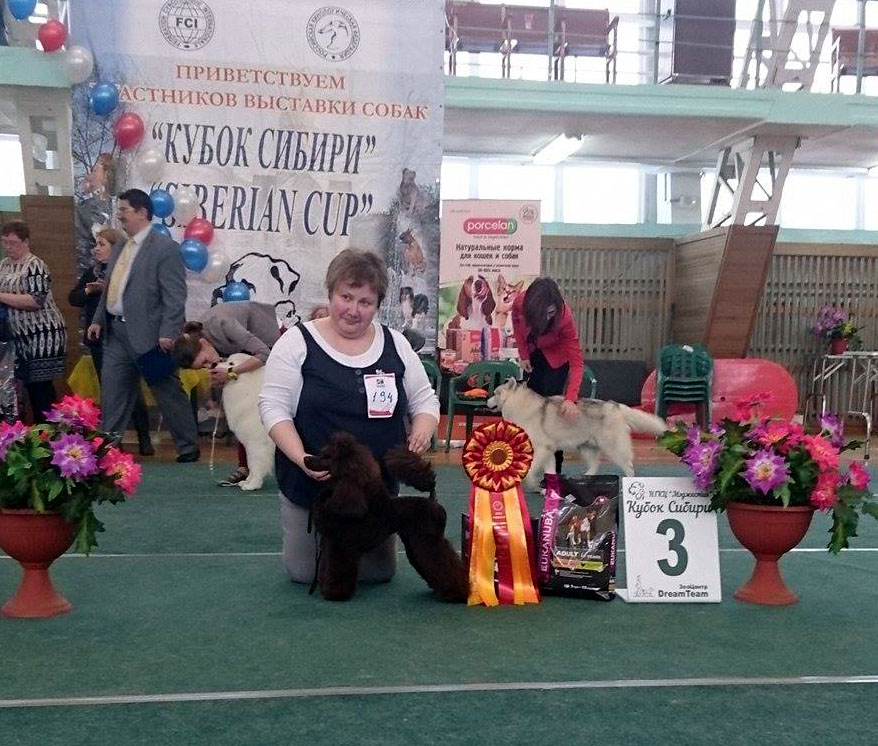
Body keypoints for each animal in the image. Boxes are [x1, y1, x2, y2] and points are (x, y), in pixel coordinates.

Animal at [217, 353, 275, 491]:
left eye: (231, 364)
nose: (214, 364)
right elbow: (250, 464)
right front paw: (247, 481)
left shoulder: (257, 443)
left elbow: (255, 463)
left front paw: (253, 484)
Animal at [303, 433, 470, 603]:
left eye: (327, 457)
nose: (306, 458)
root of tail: (432, 500)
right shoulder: (330, 542)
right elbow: (327, 567)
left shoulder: (342, 545)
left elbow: (337, 569)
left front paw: (335, 594)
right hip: (414, 541)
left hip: (428, 539)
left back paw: (457, 593)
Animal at [487, 378, 667, 487]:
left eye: (495, 393)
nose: (487, 400)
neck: (520, 404)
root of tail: (615, 406)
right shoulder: (549, 450)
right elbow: (550, 470)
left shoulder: (542, 449)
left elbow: (532, 470)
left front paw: (532, 483)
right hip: (586, 448)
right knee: (595, 465)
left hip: (613, 449)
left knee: (629, 468)